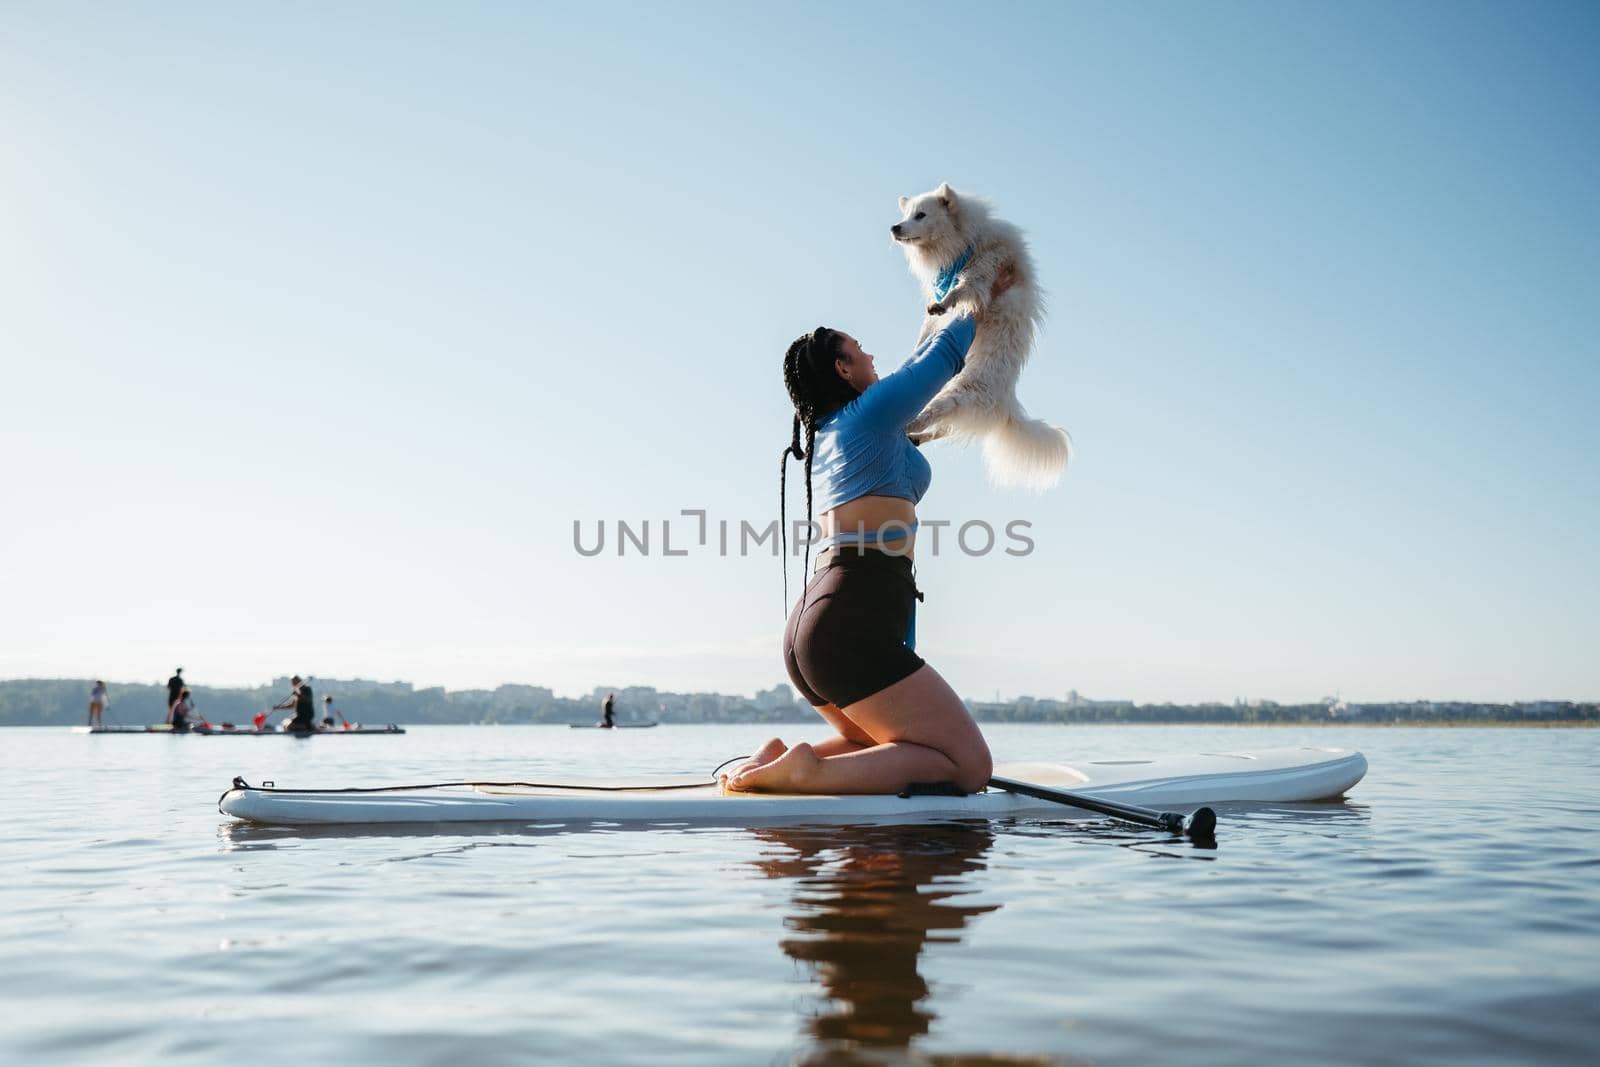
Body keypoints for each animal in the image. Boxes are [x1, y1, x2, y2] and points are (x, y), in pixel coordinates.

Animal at [896, 184, 1068, 492]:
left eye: (921, 215)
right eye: (905, 215)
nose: (895, 228)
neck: (966, 241)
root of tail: (1007, 405)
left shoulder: (985, 270)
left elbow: (962, 288)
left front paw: (945, 301)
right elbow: (930, 326)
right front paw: (919, 343)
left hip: (959, 396)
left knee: (933, 420)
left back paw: (910, 427)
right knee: (942, 428)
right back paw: (914, 435)